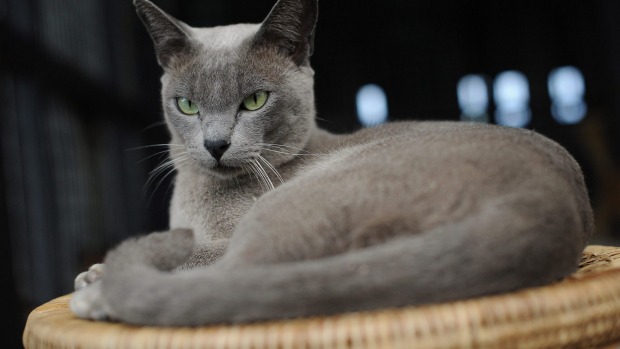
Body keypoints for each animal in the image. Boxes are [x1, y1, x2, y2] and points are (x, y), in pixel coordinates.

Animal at [70, 0, 592, 324]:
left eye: (254, 101)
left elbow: (203, 253)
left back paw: (94, 292)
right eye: (187, 106)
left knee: (239, 273)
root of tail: (548, 203)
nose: (216, 144)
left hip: (293, 204)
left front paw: (92, 274)